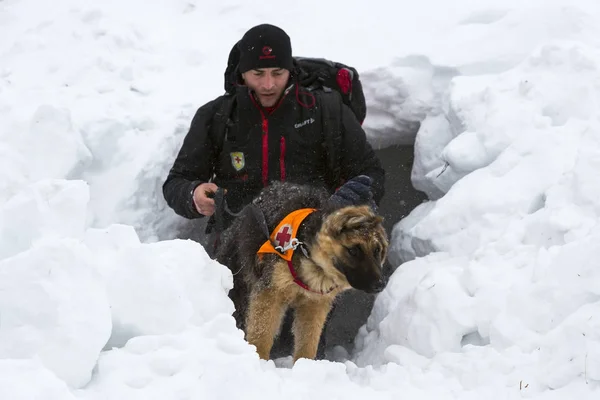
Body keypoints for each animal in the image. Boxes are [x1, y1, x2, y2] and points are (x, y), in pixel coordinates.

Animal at [216, 181, 390, 362]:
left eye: (378, 250)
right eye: (354, 251)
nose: (381, 284)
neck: (308, 254)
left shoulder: (313, 305)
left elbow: (308, 342)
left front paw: (304, 364)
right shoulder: (270, 293)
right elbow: (261, 334)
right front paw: (259, 360)